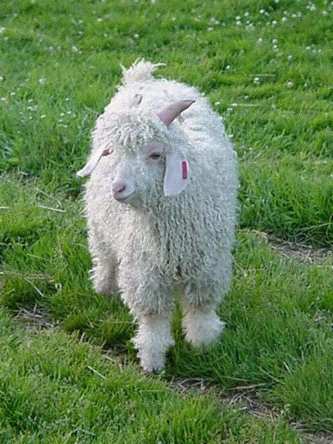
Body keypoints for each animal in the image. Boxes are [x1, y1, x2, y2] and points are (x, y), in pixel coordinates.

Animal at [77, 59, 239, 372]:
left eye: (155, 154)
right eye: (110, 152)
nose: (117, 188)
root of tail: (144, 79)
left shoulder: (207, 268)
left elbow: (201, 309)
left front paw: (204, 345)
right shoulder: (145, 272)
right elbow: (153, 319)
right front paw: (152, 361)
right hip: (100, 228)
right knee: (104, 257)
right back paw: (104, 286)